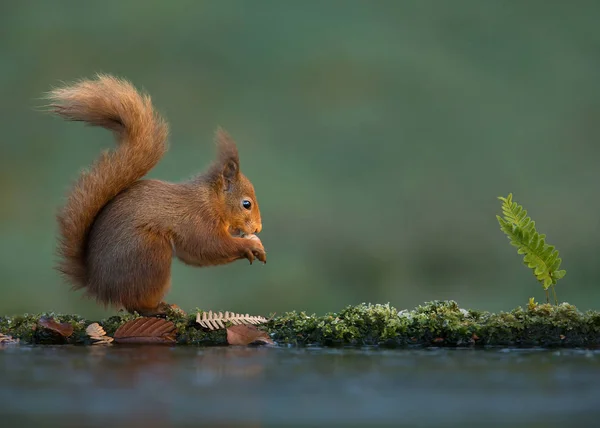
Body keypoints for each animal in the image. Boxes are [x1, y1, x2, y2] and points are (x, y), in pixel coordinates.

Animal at [44, 72, 264, 314]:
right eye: (246, 204)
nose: (258, 228)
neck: (210, 200)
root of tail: (98, 285)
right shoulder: (198, 221)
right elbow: (210, 247)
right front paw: (250, 245)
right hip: (151, 253)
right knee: (135, 304)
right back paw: (158, 308)